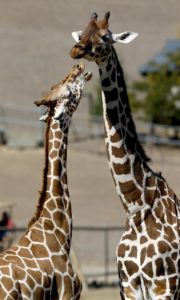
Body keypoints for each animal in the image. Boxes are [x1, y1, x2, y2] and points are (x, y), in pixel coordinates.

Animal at [70, 12, 180, 300]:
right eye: (81, 32)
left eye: (105, 37)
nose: (76, 49)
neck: (136, 206)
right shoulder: (129, 284)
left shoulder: (164, 284)